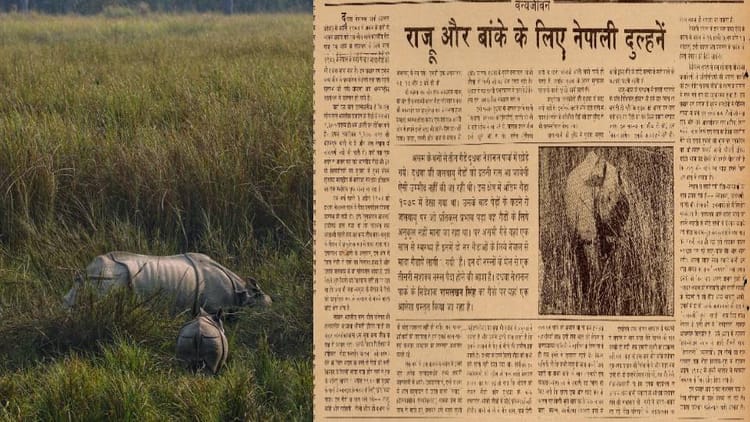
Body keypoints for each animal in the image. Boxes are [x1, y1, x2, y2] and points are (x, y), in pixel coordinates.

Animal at [63, 252, 272, 313]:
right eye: (259, 301)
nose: (271, 306)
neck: (242, 291)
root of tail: (87, 271)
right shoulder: (214, 306)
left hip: (94, 279)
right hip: (107, 279)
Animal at [565, 151, 630, 310]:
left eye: (625, 204)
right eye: (607, 199)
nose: (613, 227)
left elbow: (617, 260)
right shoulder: (589, 236)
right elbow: (595, 266)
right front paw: (596, 296)